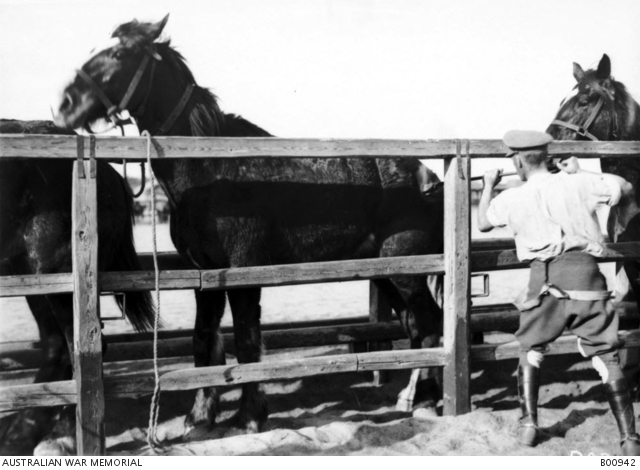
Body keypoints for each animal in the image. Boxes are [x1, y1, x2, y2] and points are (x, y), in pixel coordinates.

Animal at [0, 119, 155, 454]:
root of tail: (110, 174)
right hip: (33, 278)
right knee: (57, 348)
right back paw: (22, 434)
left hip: (57, 279)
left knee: (78, 350)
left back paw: (65, 435)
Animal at [51, 14, 444, 438]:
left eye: (120, 54)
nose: (64, 105)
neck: (213, 172)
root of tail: (429, 178)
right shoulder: (203, 276)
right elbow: (204, 342)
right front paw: (199, 418)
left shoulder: (243, 273)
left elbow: (246, 341)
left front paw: (250, 416)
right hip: (385, 273)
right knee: (416, 326)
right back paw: (413, 397)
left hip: (406, 269)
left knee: (428, 322)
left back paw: (427, 401)